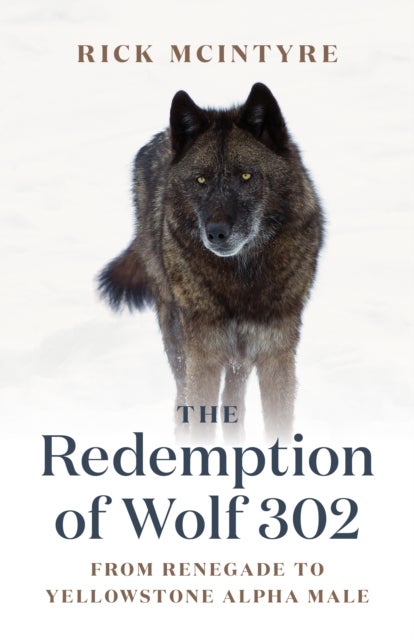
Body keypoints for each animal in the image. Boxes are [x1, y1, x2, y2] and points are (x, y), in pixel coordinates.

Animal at [98, 83, 323, 438]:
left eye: (245, 176)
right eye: (201, 180)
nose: (215, 233)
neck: (242, 280)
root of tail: (162, 135)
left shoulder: (276, 355)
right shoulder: (203, 357)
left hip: (239, 359)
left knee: (234, 402)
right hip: (178, 340)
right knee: (182, 402)